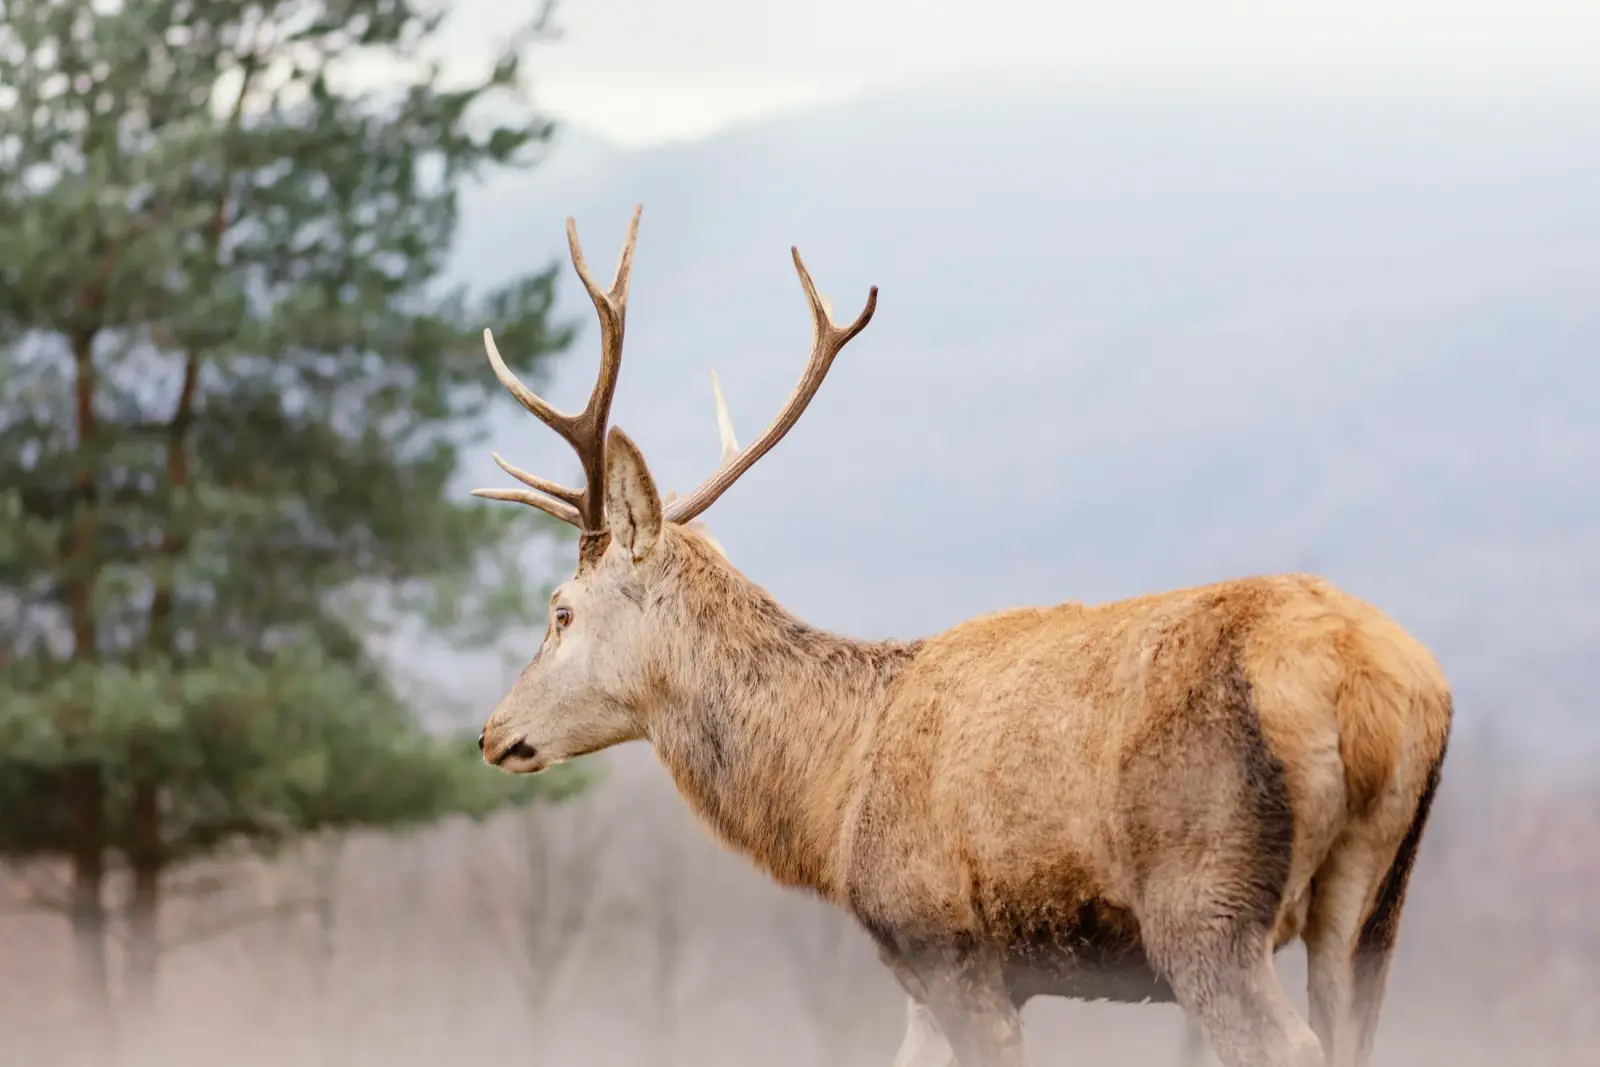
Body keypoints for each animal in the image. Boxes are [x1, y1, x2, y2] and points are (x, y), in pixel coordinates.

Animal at [471, 206, 1454, 1067]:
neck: (833, 801)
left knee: (1283, 1040)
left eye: (561, 608)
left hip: (1205, 892)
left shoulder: (941, 934)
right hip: (1377, 901)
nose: (490, 731)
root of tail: (1380, 688)